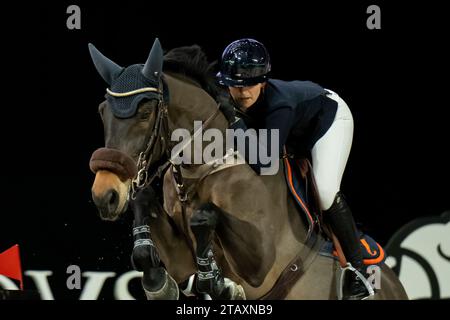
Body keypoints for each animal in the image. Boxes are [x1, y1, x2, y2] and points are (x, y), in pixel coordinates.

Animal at [88, 38, 408, 300]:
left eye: (144, 113)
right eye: (102, 112)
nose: (105, 195)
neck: (201, 169)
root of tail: (396, 284)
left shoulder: (262, 263)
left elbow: (206, 217)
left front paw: (220, 283)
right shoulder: (179, 259)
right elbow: (148, 228)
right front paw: (163, 280)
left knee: (330, 195)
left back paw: (357, 283)